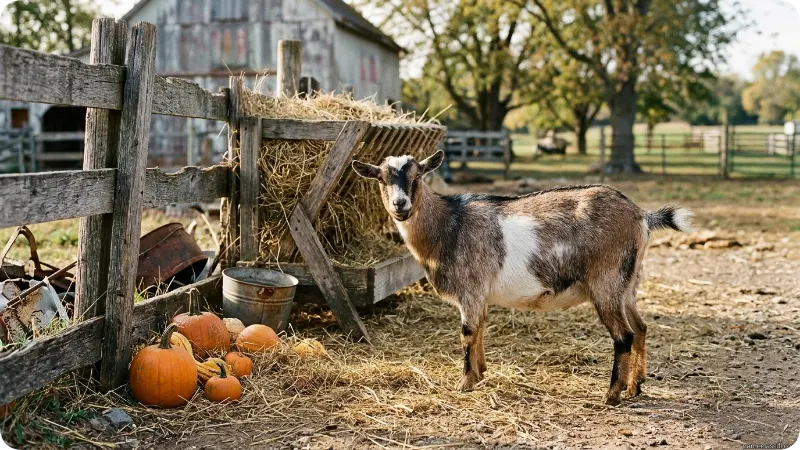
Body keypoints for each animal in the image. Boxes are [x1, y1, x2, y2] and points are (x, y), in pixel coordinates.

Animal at [352, 150, 693, 405]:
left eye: (417, 177)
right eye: (382, 179)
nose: (400, 205)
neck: (450, 225)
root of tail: (642, 216)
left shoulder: (470, 289)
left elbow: (467, 332)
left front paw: (464, 383)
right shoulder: (480, 295)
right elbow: (480, 329)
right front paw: (480, 374)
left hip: (606, 282)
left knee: (624, 336)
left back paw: (611, 395)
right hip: (627, 284)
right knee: (641, 328)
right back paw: (635, 386)